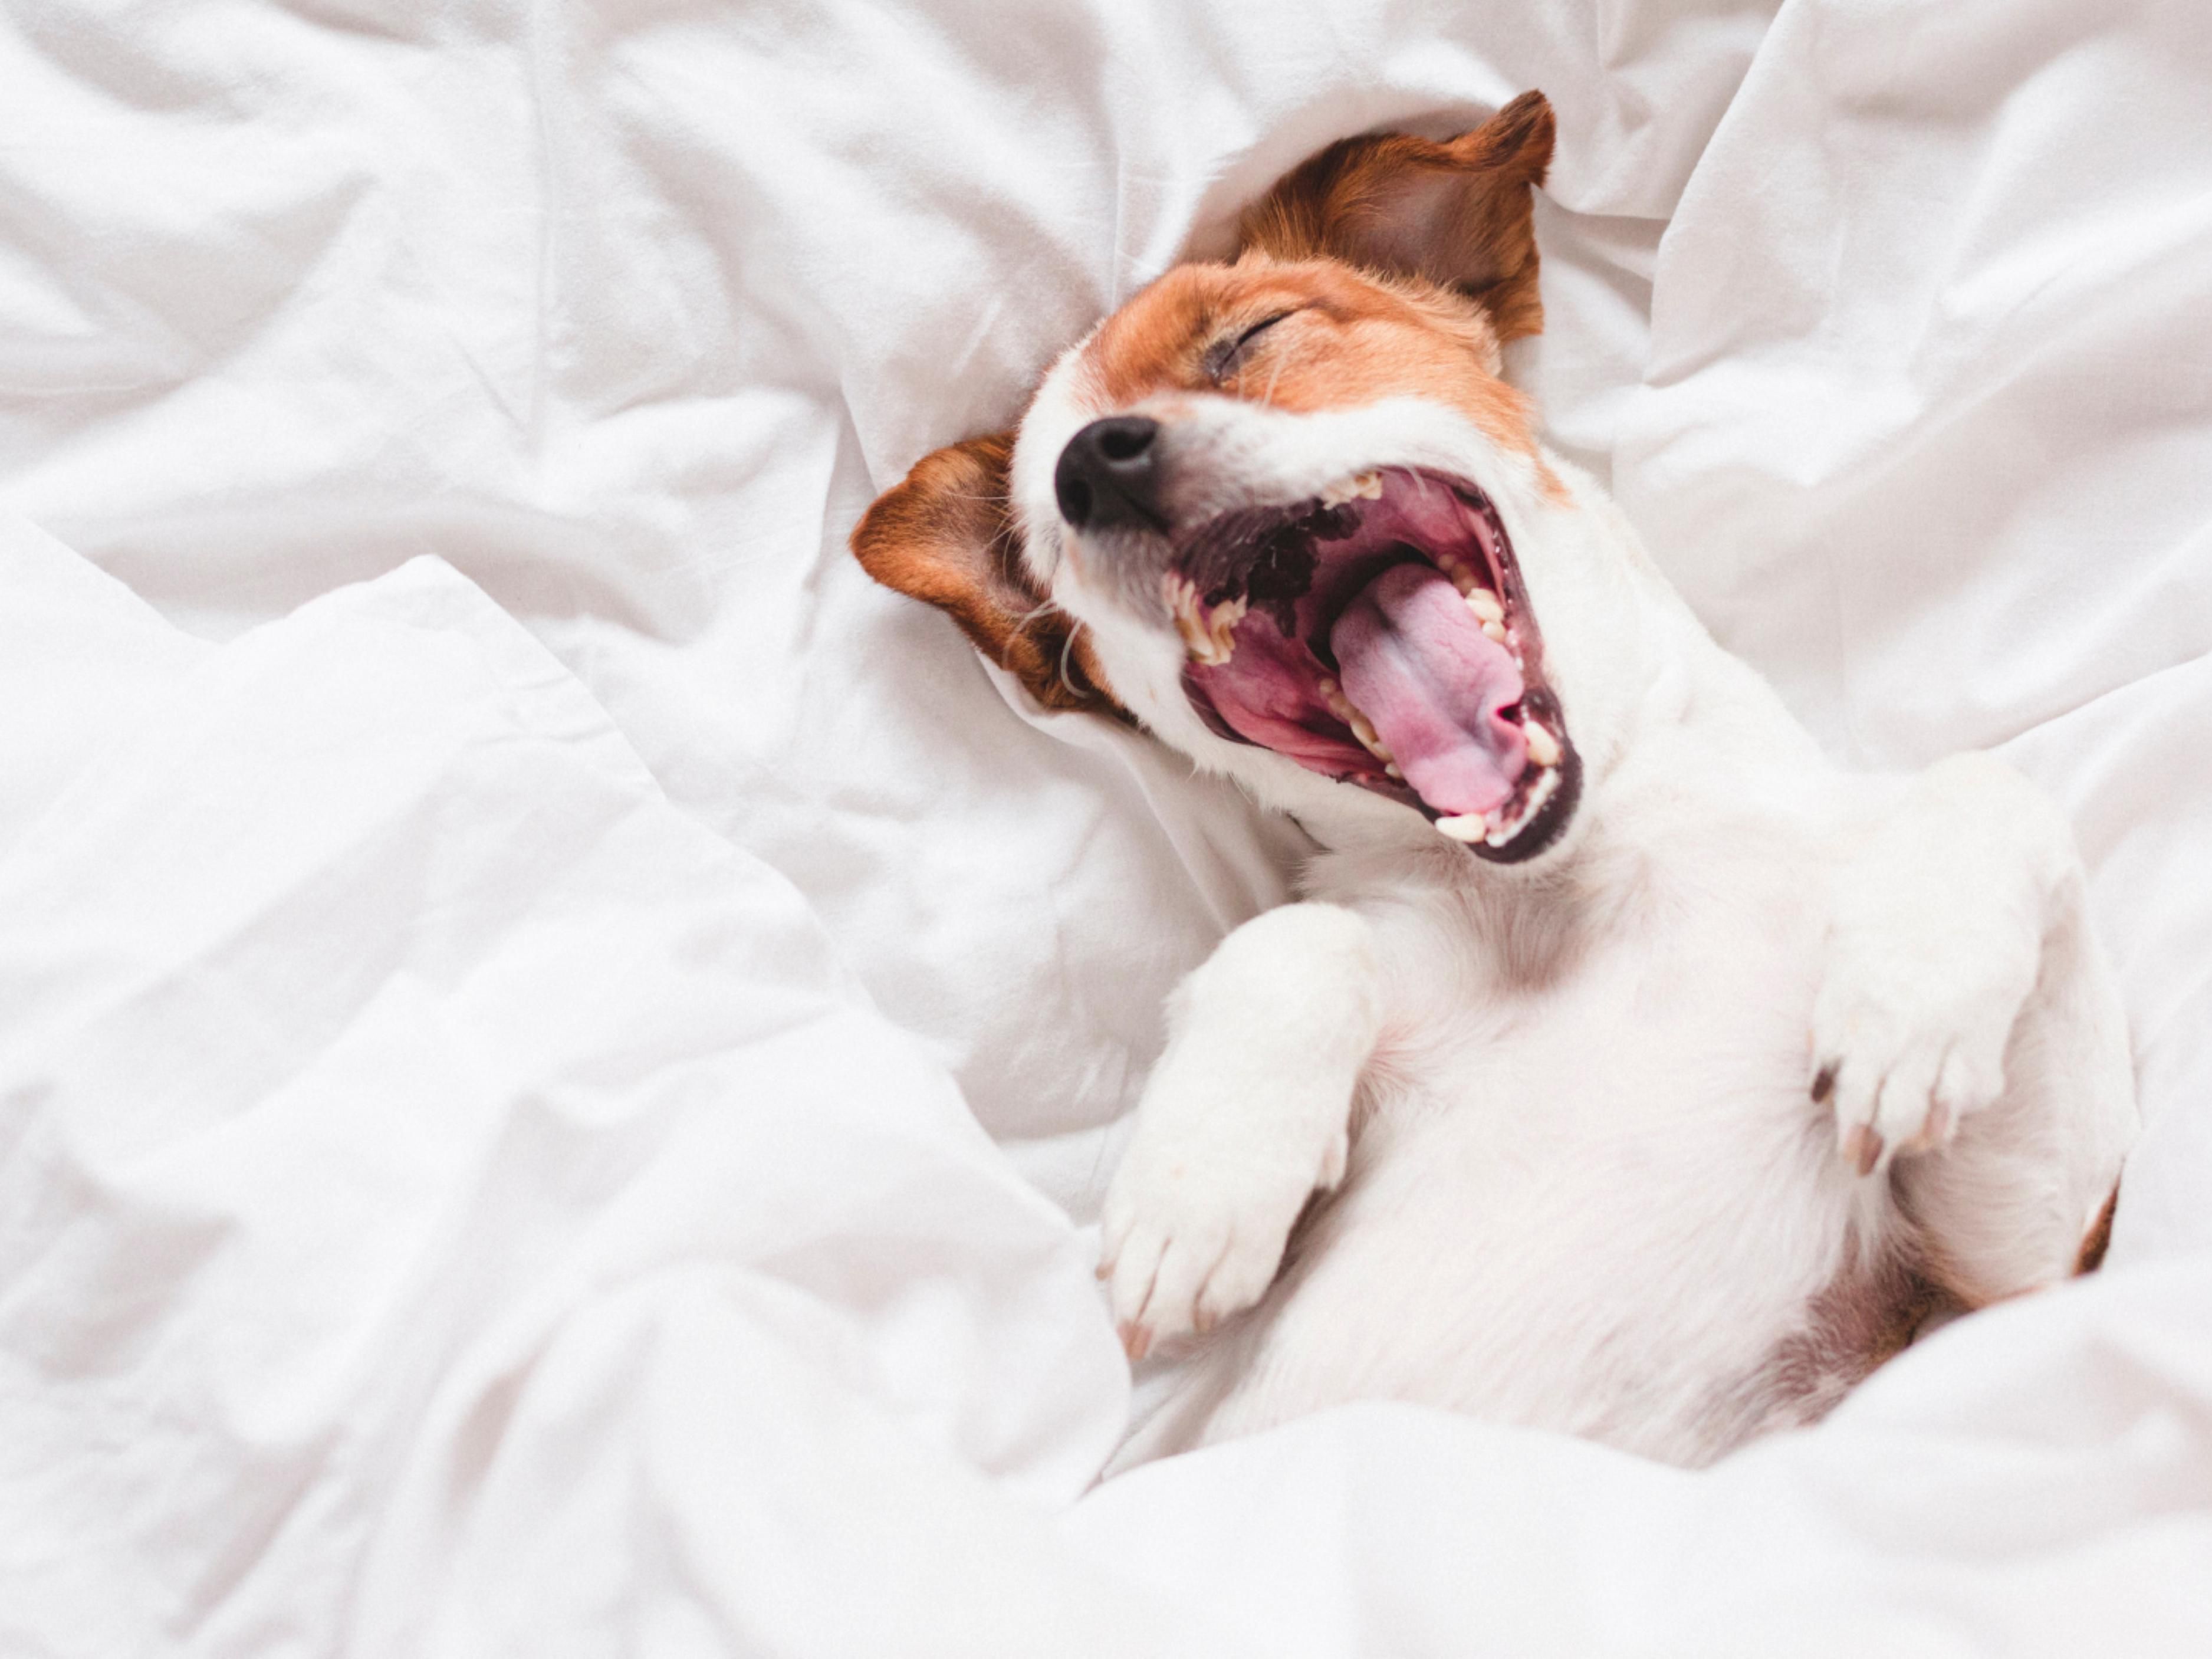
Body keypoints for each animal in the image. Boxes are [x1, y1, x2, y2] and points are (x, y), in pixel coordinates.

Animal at [849, 94, 2141, 1469]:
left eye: (1250, 338)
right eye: (1047, 527)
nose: (1094, 462)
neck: (1575, 876)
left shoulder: (2017, 1270)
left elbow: (1992, 785)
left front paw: (1912, 998)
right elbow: (1296, 936)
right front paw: (1203, 1182)